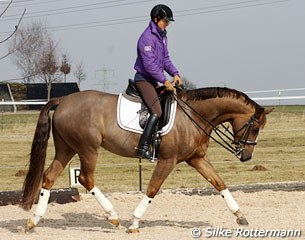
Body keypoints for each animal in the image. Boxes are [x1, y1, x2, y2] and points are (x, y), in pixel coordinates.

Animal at [19, 86, 270, 232]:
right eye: (255, 128)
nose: (246, 156)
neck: (192, 115)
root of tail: (63, 100)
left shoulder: (196, 158)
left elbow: (219, 183)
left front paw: (240, 216)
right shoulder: (168, 160)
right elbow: (152, 189)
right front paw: (134, 222)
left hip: (67, 148)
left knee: (49, 176)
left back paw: (34, 220)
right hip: (88, 148)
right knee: (85, 178)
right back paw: (113, 217)